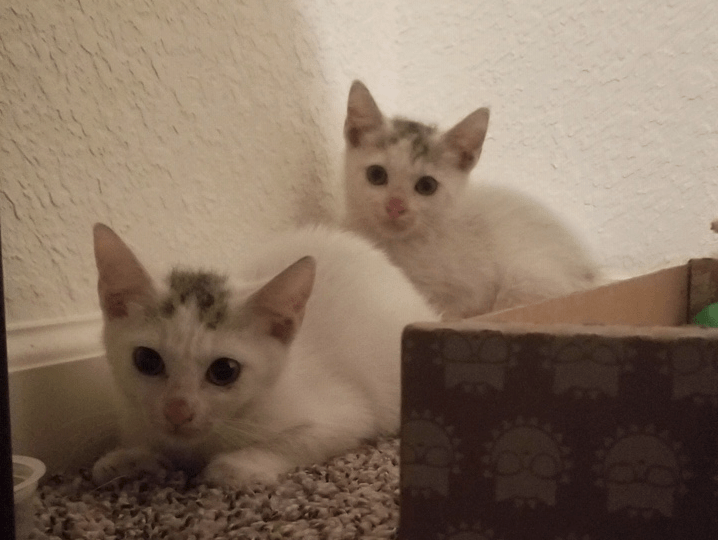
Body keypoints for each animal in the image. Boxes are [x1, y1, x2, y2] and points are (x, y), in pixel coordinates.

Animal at [92, 221, 436, 488]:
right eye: (146, 360)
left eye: (224, 370)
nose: (177, 412)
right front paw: (128, 459)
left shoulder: (348, 415)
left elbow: (296, 441)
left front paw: (236, 465)